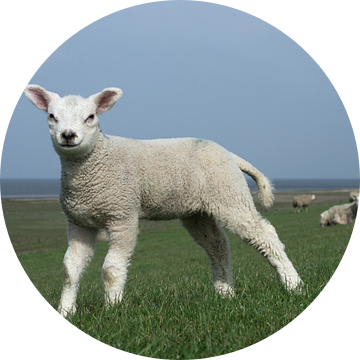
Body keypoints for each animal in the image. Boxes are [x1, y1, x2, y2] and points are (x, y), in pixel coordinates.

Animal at [23, 84, 304, 318]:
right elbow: (70, 270)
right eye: (51, 116)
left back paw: (294, 285)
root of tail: (229, 154)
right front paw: (66, 311)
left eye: (90, 117)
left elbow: (111, 269)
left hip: (229, 194)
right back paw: (225, 293)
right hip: (198, 211)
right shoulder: (79, 222)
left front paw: (113, 309)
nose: (68, 135)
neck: (96, 165)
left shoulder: (123, 215)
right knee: (218, 246)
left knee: (265, 235)